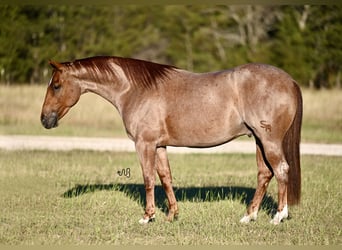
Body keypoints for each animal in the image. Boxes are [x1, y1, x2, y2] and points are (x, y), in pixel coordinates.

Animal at [40, 56, 302, 225]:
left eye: (56, 85)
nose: (44, 119)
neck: (135, 89)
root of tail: (290, 81)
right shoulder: (159, 146)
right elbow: (165, 177)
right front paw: (171, 214)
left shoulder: (144, 144)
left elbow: (148, 178)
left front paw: (148, 216)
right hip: (258, 140)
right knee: (264, 174)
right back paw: (249, 216)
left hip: (269, 141)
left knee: (281, 170)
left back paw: (278, 216)